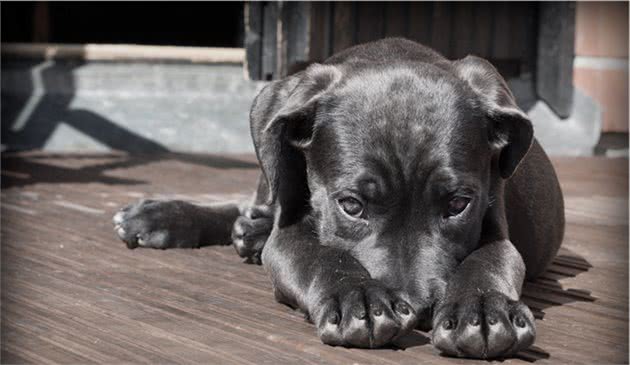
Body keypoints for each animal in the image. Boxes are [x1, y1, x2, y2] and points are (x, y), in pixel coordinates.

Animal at [115, 38, 568, 356]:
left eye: (458, 205)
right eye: (352, 205)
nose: (419, 309)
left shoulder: (496, 225)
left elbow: (490, 260)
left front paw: (484, 310)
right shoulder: (290, 233)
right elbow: (320, 255)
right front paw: (360, 298)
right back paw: (164, 217)